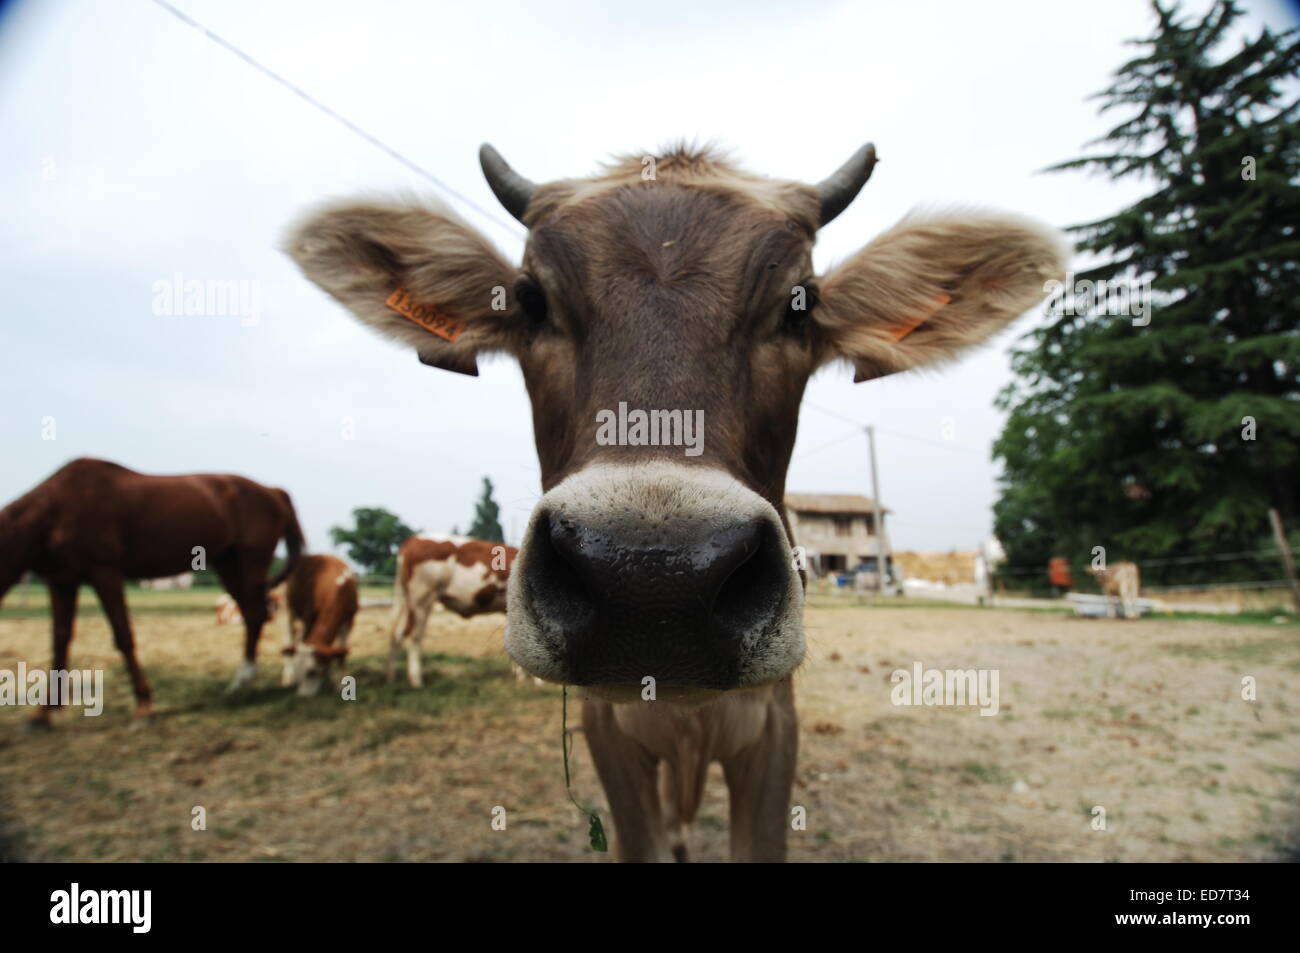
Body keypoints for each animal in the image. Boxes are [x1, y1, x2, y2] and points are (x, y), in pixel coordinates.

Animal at [0, 458, 304, 723]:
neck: (60, 507)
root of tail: (274, 492)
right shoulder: (61, 581)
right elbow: (60, 639)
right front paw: (43, 713)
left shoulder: (105, 573)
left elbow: (123, 636)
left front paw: (144, 707)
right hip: (227, 564)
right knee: (254, 615)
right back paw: (241, 684)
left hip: (251, 562)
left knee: (256, 615)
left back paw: (244, 679)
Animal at [279, 555, 359, 695]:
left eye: (312, 672)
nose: (301, 695)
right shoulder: (308, 616)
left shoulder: (348, 621)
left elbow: (340, 653)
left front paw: (339, 683)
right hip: (289, 607)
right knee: (290, 637)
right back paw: (288, 677)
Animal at [388, 533, 515, 686]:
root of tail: (414, 538)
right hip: (422, 598)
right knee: (415, 636)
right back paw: (416, 680)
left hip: (407, 600)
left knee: (397, 633)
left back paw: (392, 678)